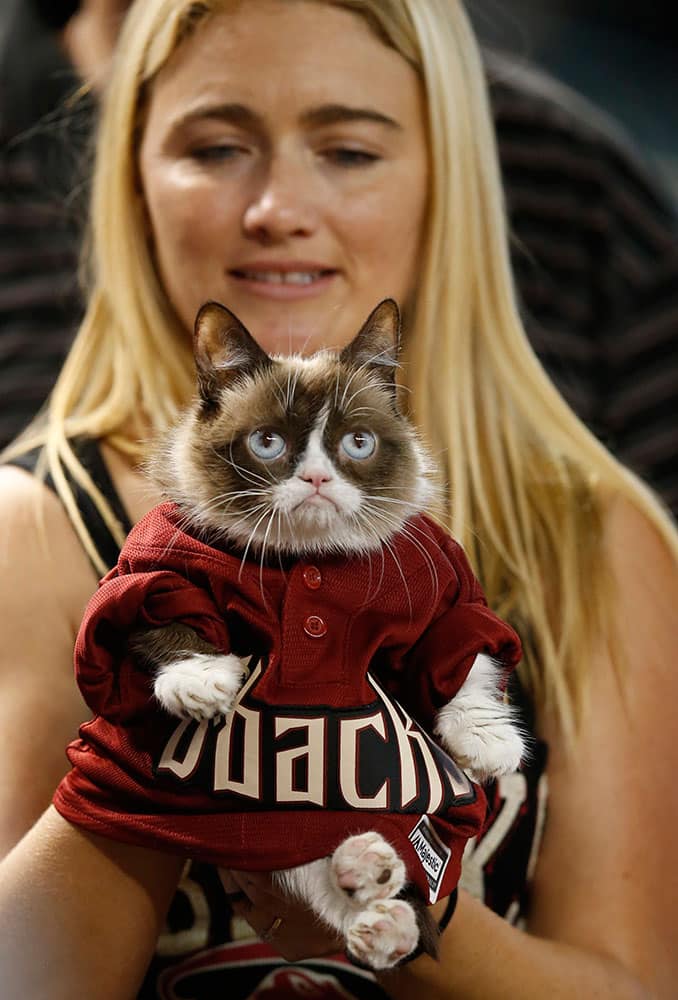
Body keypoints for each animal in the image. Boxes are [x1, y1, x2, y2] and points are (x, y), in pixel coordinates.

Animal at [131, 298, 524, 968]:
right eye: (268, 442)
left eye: (357, 443)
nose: (316, 479)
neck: (309, 558)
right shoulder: (155, 562)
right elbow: (164, 610)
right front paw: (199, 683)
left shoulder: (442, 587)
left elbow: (465, 652)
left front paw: (489, 741)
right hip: (265, 825)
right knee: (306, 871)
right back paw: (371, 888)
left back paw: (378, 892)